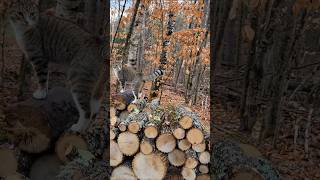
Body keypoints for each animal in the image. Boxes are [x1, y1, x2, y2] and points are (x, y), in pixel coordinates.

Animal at [7, 0, 106, 132]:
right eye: (20, 13)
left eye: (32, 14)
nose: (27, 22)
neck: (24, 29)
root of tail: (97, 42)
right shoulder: (44, 60)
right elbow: (46, 77)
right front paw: (45, 92)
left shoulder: (39, 58)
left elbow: (42, 77)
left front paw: (41, 94)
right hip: (96, 86)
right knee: (94, 109)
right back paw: (85, 129)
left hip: (78, 79)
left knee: (87, 111)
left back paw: (77, 128)